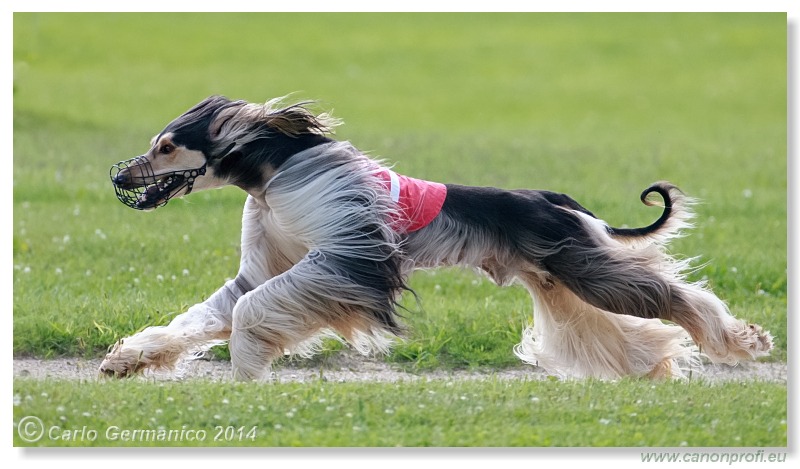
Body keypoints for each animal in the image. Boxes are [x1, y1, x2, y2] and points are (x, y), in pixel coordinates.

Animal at [98, 96, 768, 380]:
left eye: (166, 147)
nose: (121, 178)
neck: (274, 171)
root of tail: (555, 200)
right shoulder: (265, 264)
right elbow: (213, 312)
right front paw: (130, 359)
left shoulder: (348, 253)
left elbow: (254, 310)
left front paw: (246, 365)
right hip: (553, 274)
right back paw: (648, 366)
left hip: (579, 264)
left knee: (670, 296)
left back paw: (740, 340)